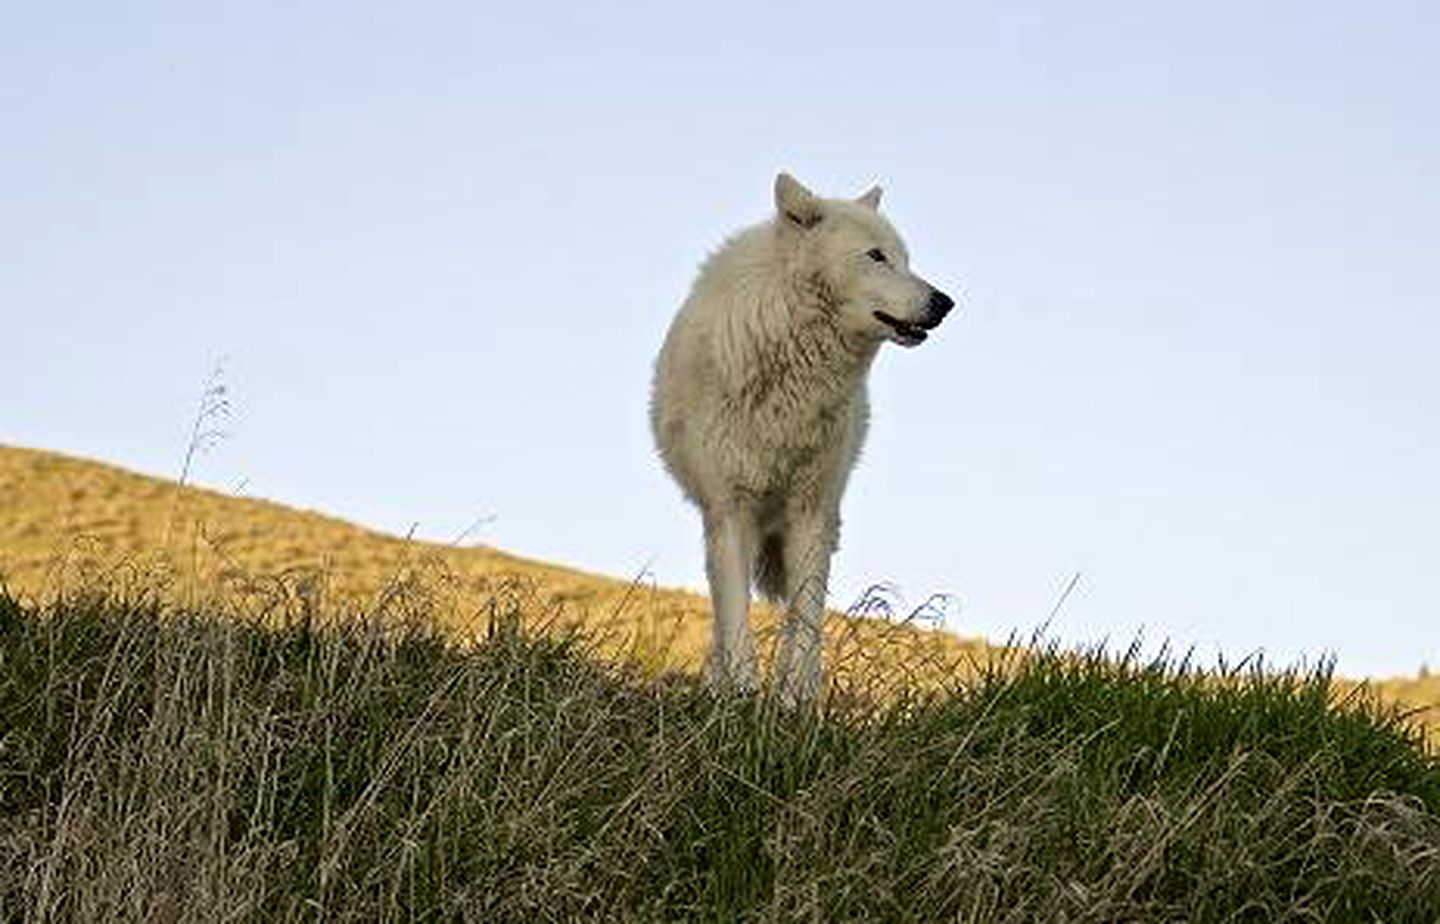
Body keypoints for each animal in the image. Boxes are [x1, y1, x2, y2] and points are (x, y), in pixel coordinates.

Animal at [656, 171, 956, 696]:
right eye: (876, 255)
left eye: (906, 258)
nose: (944, 302)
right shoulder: (730, 510)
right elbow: (733, 611)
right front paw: (740, 692)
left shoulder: (811, 510)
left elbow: (807, 615)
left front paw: (796, 698)